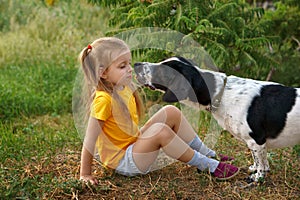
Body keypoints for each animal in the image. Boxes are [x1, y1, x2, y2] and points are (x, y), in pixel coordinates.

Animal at [135, 55, 300, 181]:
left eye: (162, 70)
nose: (136, 64)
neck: (222, 93)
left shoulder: (256, 139)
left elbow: (260, 162)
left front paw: (257, 178)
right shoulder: (257, 144)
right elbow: (260, 160)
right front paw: (255, 170)